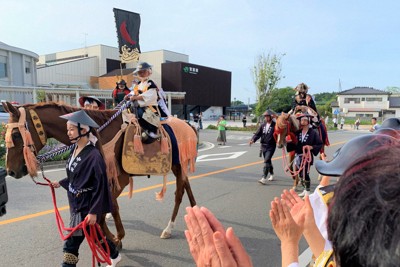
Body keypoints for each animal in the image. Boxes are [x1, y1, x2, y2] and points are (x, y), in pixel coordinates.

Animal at [1, 101, 198, 248]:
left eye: (16, 134)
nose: (10, 170)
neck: (97, 134)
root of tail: (189, 124)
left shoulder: (118, 178)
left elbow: (104, 209)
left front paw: (114, 238)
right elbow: (107, 208)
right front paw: (110, 237)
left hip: (178, 163)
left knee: (179, 192)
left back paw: (169, 228)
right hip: (178, 164)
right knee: (186, 185)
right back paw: (195, 210)